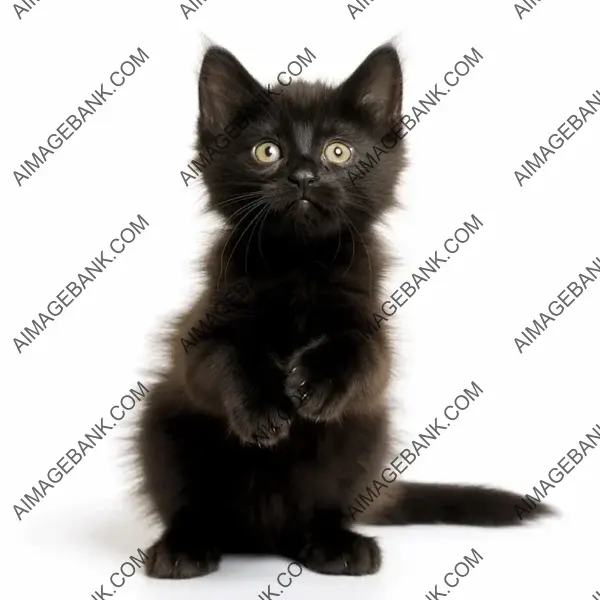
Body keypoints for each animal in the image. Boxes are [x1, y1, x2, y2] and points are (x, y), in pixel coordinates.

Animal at [134, 41, 552, 576]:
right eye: (267, 151)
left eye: (338, 151)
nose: (304, 176)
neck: (299, 265)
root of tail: (261, 537)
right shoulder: (199, 331)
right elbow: (217, 360)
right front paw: (262, 407)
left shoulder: (372, 327)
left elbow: (366, 357)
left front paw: (317, 383)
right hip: (161, 425)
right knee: (190, 501)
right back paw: (185, 546)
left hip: (367, 432)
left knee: (322, 509)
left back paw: (336, 545)